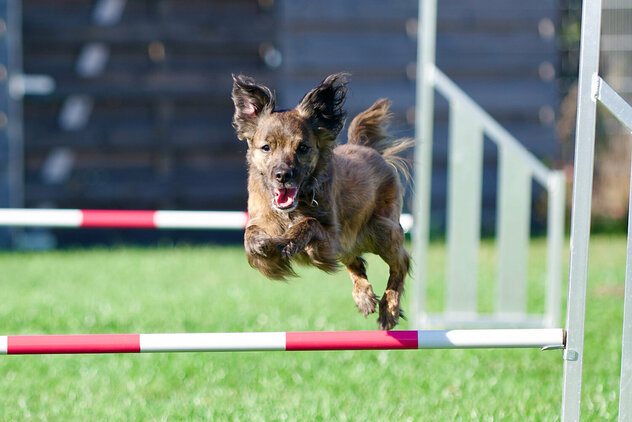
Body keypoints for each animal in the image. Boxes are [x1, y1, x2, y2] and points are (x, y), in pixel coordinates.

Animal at [230, 72, 412, 330]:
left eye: (302, 147)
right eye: (266, 147)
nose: (282, 175)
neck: (292, 209)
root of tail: (366, 147)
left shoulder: (331, 240)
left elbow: (309, 223)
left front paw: (291, 240)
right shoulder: (261, 218)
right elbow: (250, 232)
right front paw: (259, 243)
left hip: (381, 231)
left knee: (401, 262)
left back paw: (389, 308)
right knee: (356, 262)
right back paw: (364, 296)